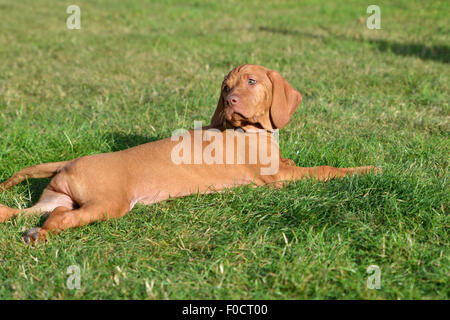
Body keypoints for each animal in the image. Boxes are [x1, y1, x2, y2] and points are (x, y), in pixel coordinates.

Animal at [0, 64, 380, 242]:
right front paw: (370, 169)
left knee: (25, 211)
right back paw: (39, 235)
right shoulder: (279, 177)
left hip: (55, 198)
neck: (251, 130)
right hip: (107, 203)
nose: (231, 101)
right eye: (226, 87)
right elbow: (325, 169)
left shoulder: (282, 166)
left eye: (252, 82)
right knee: (60, 219)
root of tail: (69, 161)